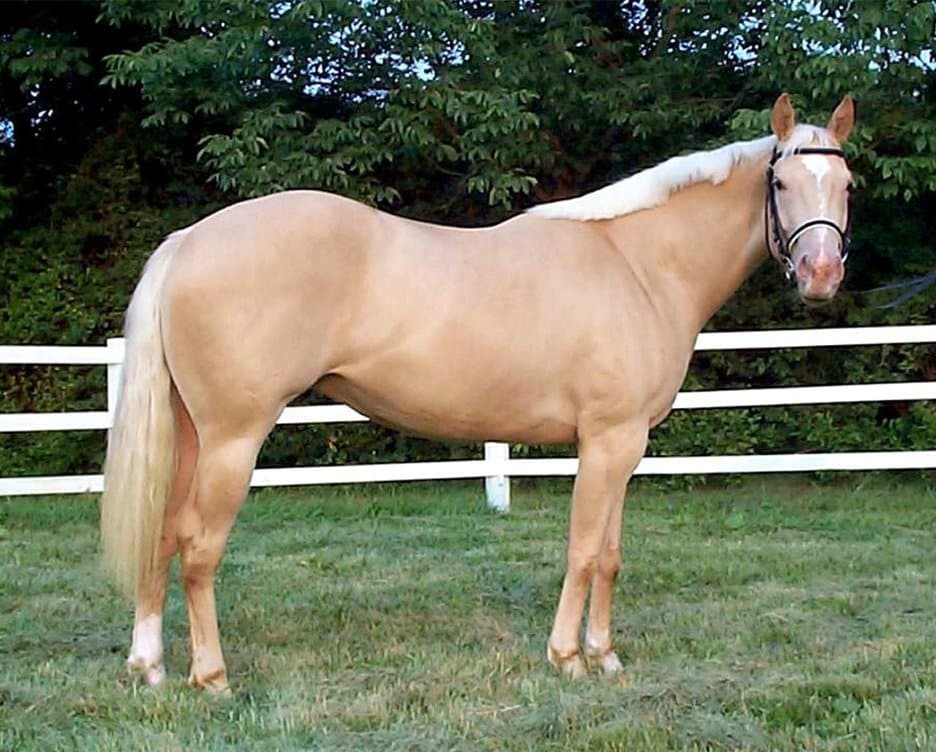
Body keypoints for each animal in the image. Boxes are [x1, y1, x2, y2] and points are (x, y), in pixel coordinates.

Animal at [101, 93, 855, 692]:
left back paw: (151, 665)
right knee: (199, 547)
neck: (636, 263)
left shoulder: (625, 445)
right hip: (234, 438)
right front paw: (567, 658)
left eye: (847, 183)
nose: (821, 275)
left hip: (191, 435)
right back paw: (212, 677)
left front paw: (605, 656)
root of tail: (189, 241)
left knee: (163, 532)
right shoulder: (608, 440)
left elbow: (610, 555)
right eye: (781, 181)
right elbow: (584, 550)